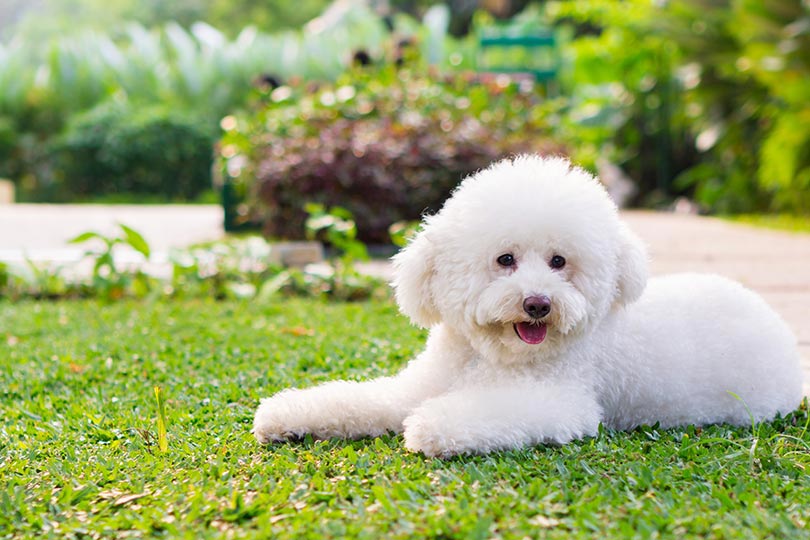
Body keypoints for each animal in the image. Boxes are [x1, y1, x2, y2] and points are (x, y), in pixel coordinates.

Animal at [254, 155, 800, 456]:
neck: (485, 357)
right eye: (505, 259)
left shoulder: (560, 402)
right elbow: (360, 400)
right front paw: (285, 414)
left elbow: (482, 414)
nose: (538, 304)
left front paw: (431, 426)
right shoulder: (415, 387)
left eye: (559, 261)